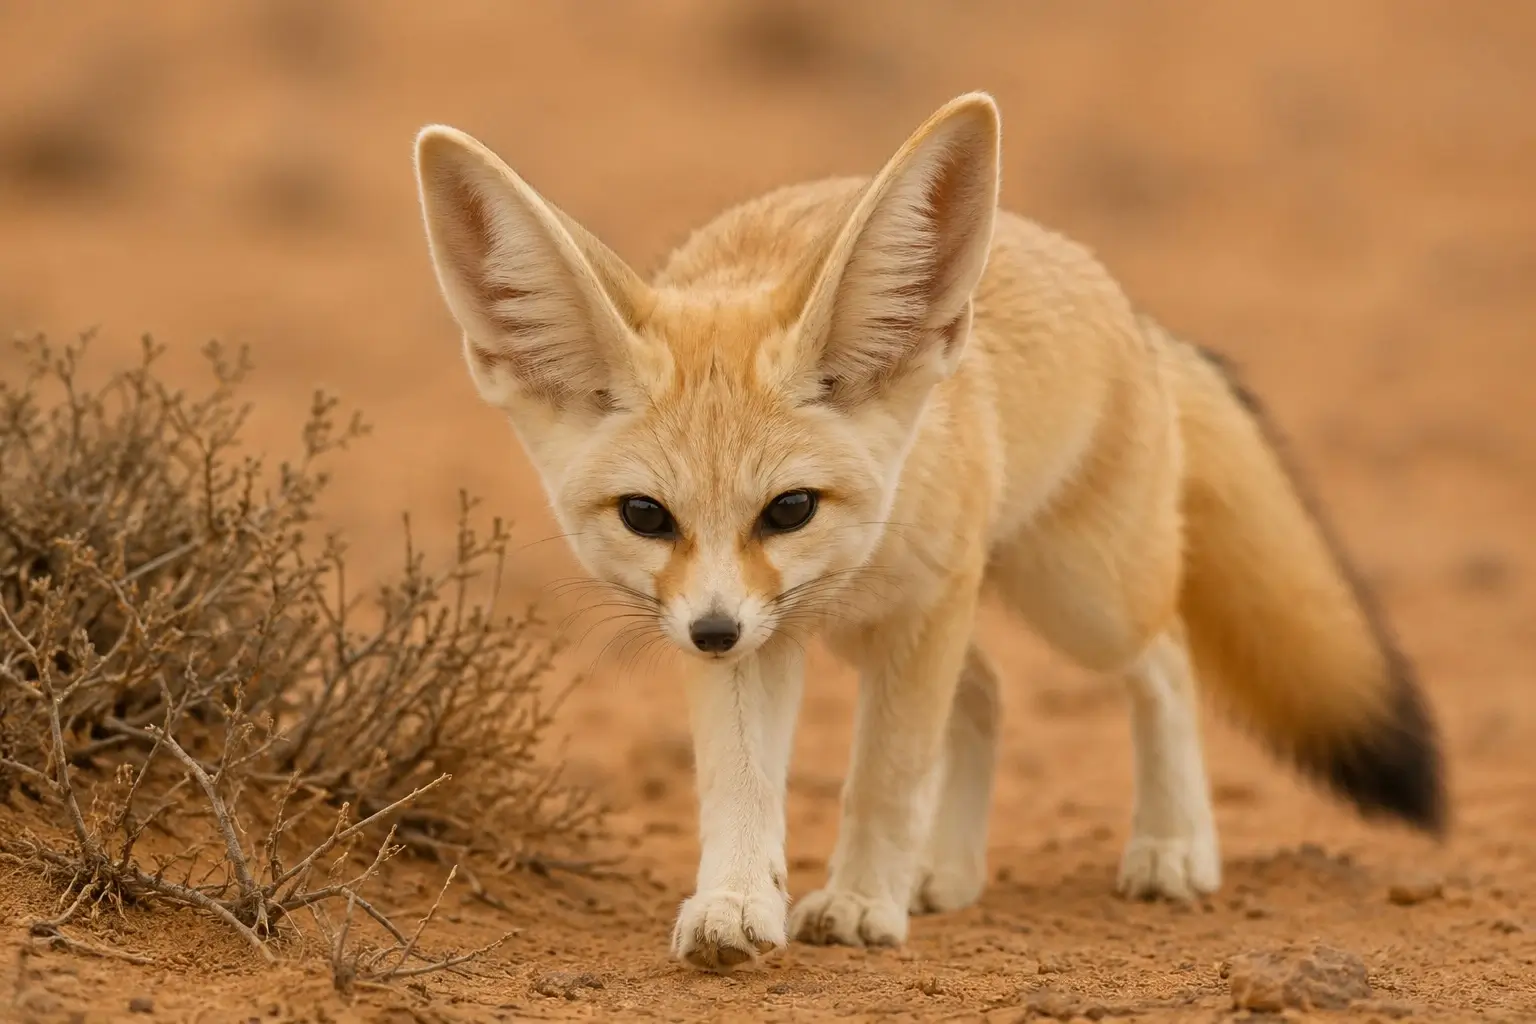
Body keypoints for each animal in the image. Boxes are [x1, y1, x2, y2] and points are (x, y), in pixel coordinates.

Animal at [411, 92, 1446, 972]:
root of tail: (1130, 309)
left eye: (789, 509)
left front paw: (861, 902)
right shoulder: (762, 636)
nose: (710, 633)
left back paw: (1171, 843)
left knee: (1164, 659)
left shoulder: (911, 614)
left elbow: (884, 772)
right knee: (987, 691)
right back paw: (945, 870)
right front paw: (740, 902)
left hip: (1080, 599)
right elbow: (741, 785)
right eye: (645, 517)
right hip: (893, 629)